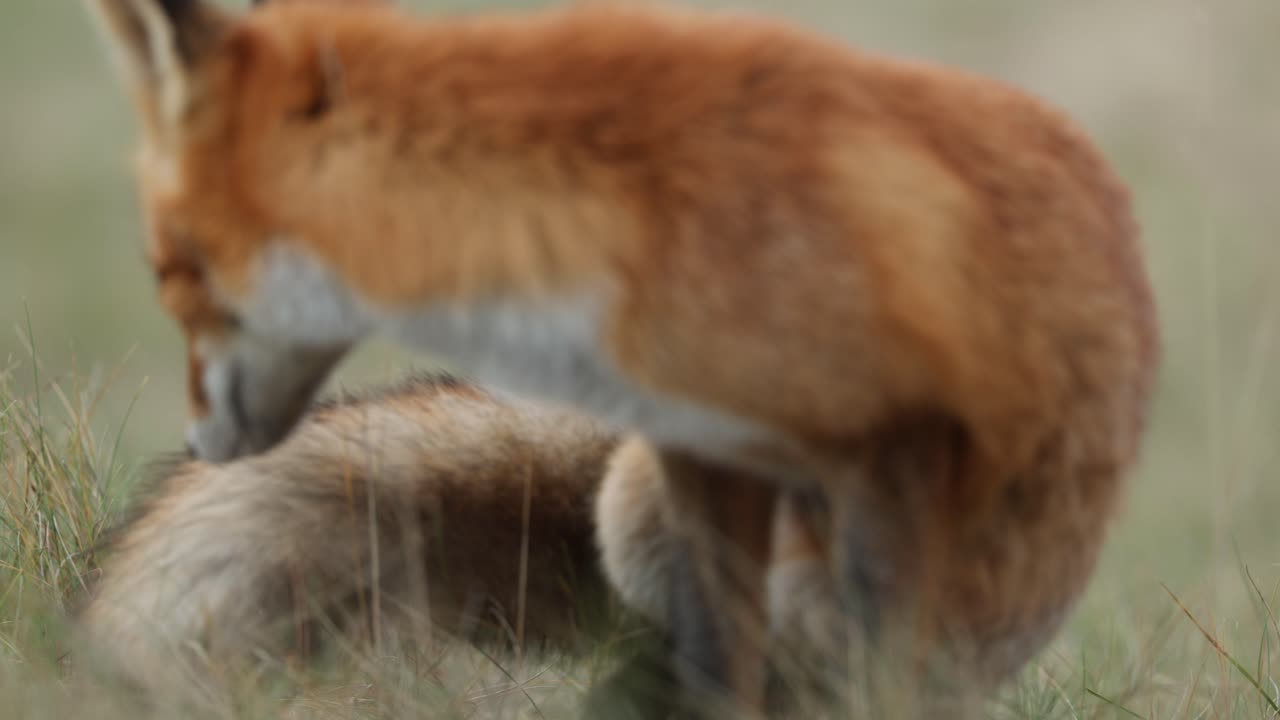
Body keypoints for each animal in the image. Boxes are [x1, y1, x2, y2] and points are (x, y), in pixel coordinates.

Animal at [88, 0, 1160, 716]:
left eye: (173, 266)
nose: (204, 438)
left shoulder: (900, 453)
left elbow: (871, 649)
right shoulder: (700, 459)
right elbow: (716, 655)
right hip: (631, 507)